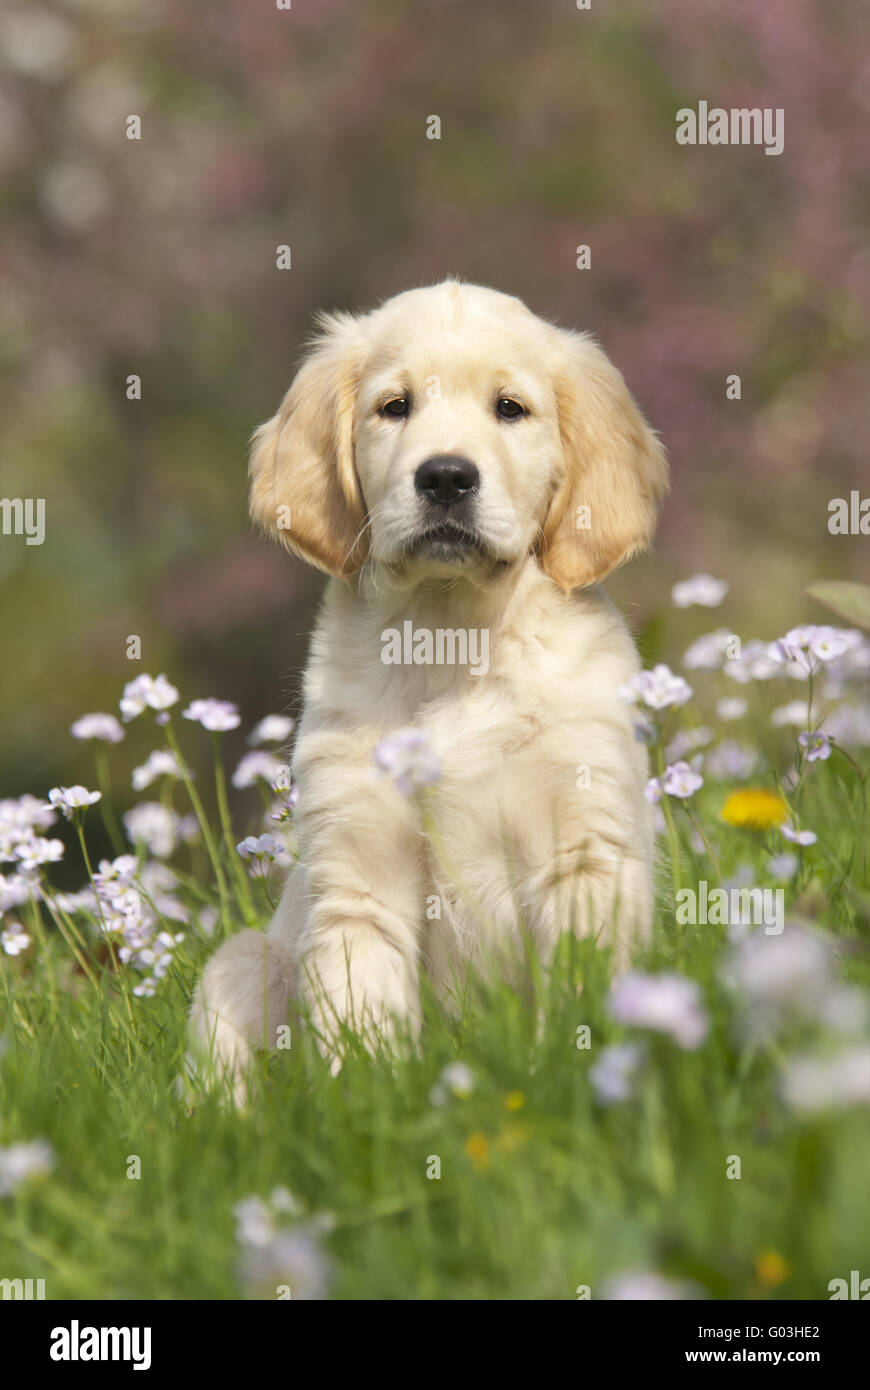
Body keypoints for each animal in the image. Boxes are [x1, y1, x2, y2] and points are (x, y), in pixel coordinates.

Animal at [187, 276, 664, 1095]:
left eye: (510, 408)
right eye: (394, 406)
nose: (444, 476)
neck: (451, 635)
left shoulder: (584, 849)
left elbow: (579, 997)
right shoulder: (358, 878)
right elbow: (362, 1024)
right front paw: (372, 1106)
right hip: (241, 961)